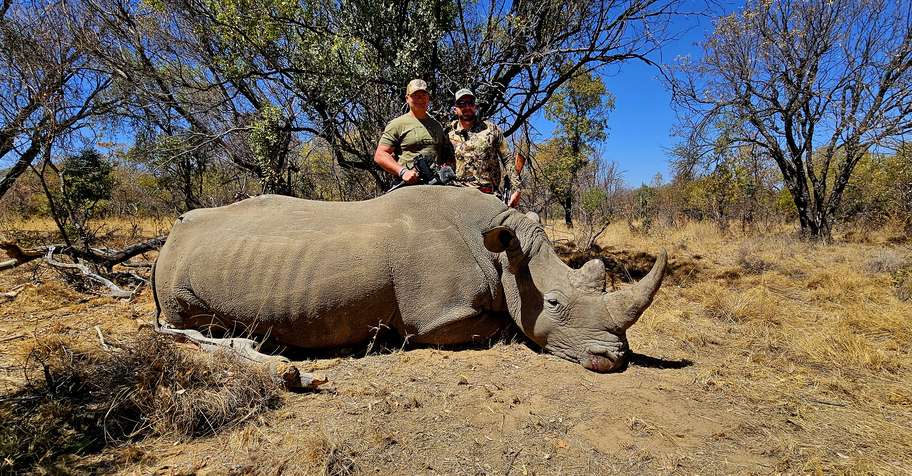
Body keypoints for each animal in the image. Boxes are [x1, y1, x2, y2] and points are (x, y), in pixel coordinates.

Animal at [153, 186, 666, 373]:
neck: (499, 248)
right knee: (183, 321)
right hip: (178, 275)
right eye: (555, 302)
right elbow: (500, 325)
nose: (615, 358)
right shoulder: (436, 318)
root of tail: (166, 240)